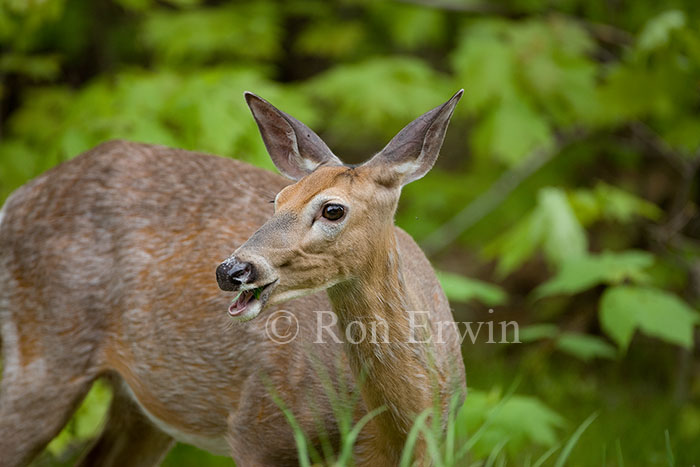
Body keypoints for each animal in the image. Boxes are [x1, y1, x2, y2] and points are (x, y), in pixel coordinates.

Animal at [0, 90, 466, 466]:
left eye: (333, 209)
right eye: (277, 199)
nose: (231, 270)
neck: (392, 431)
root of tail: (14, 200)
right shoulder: (258, 430)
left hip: (142, 405)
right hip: (40, 355)